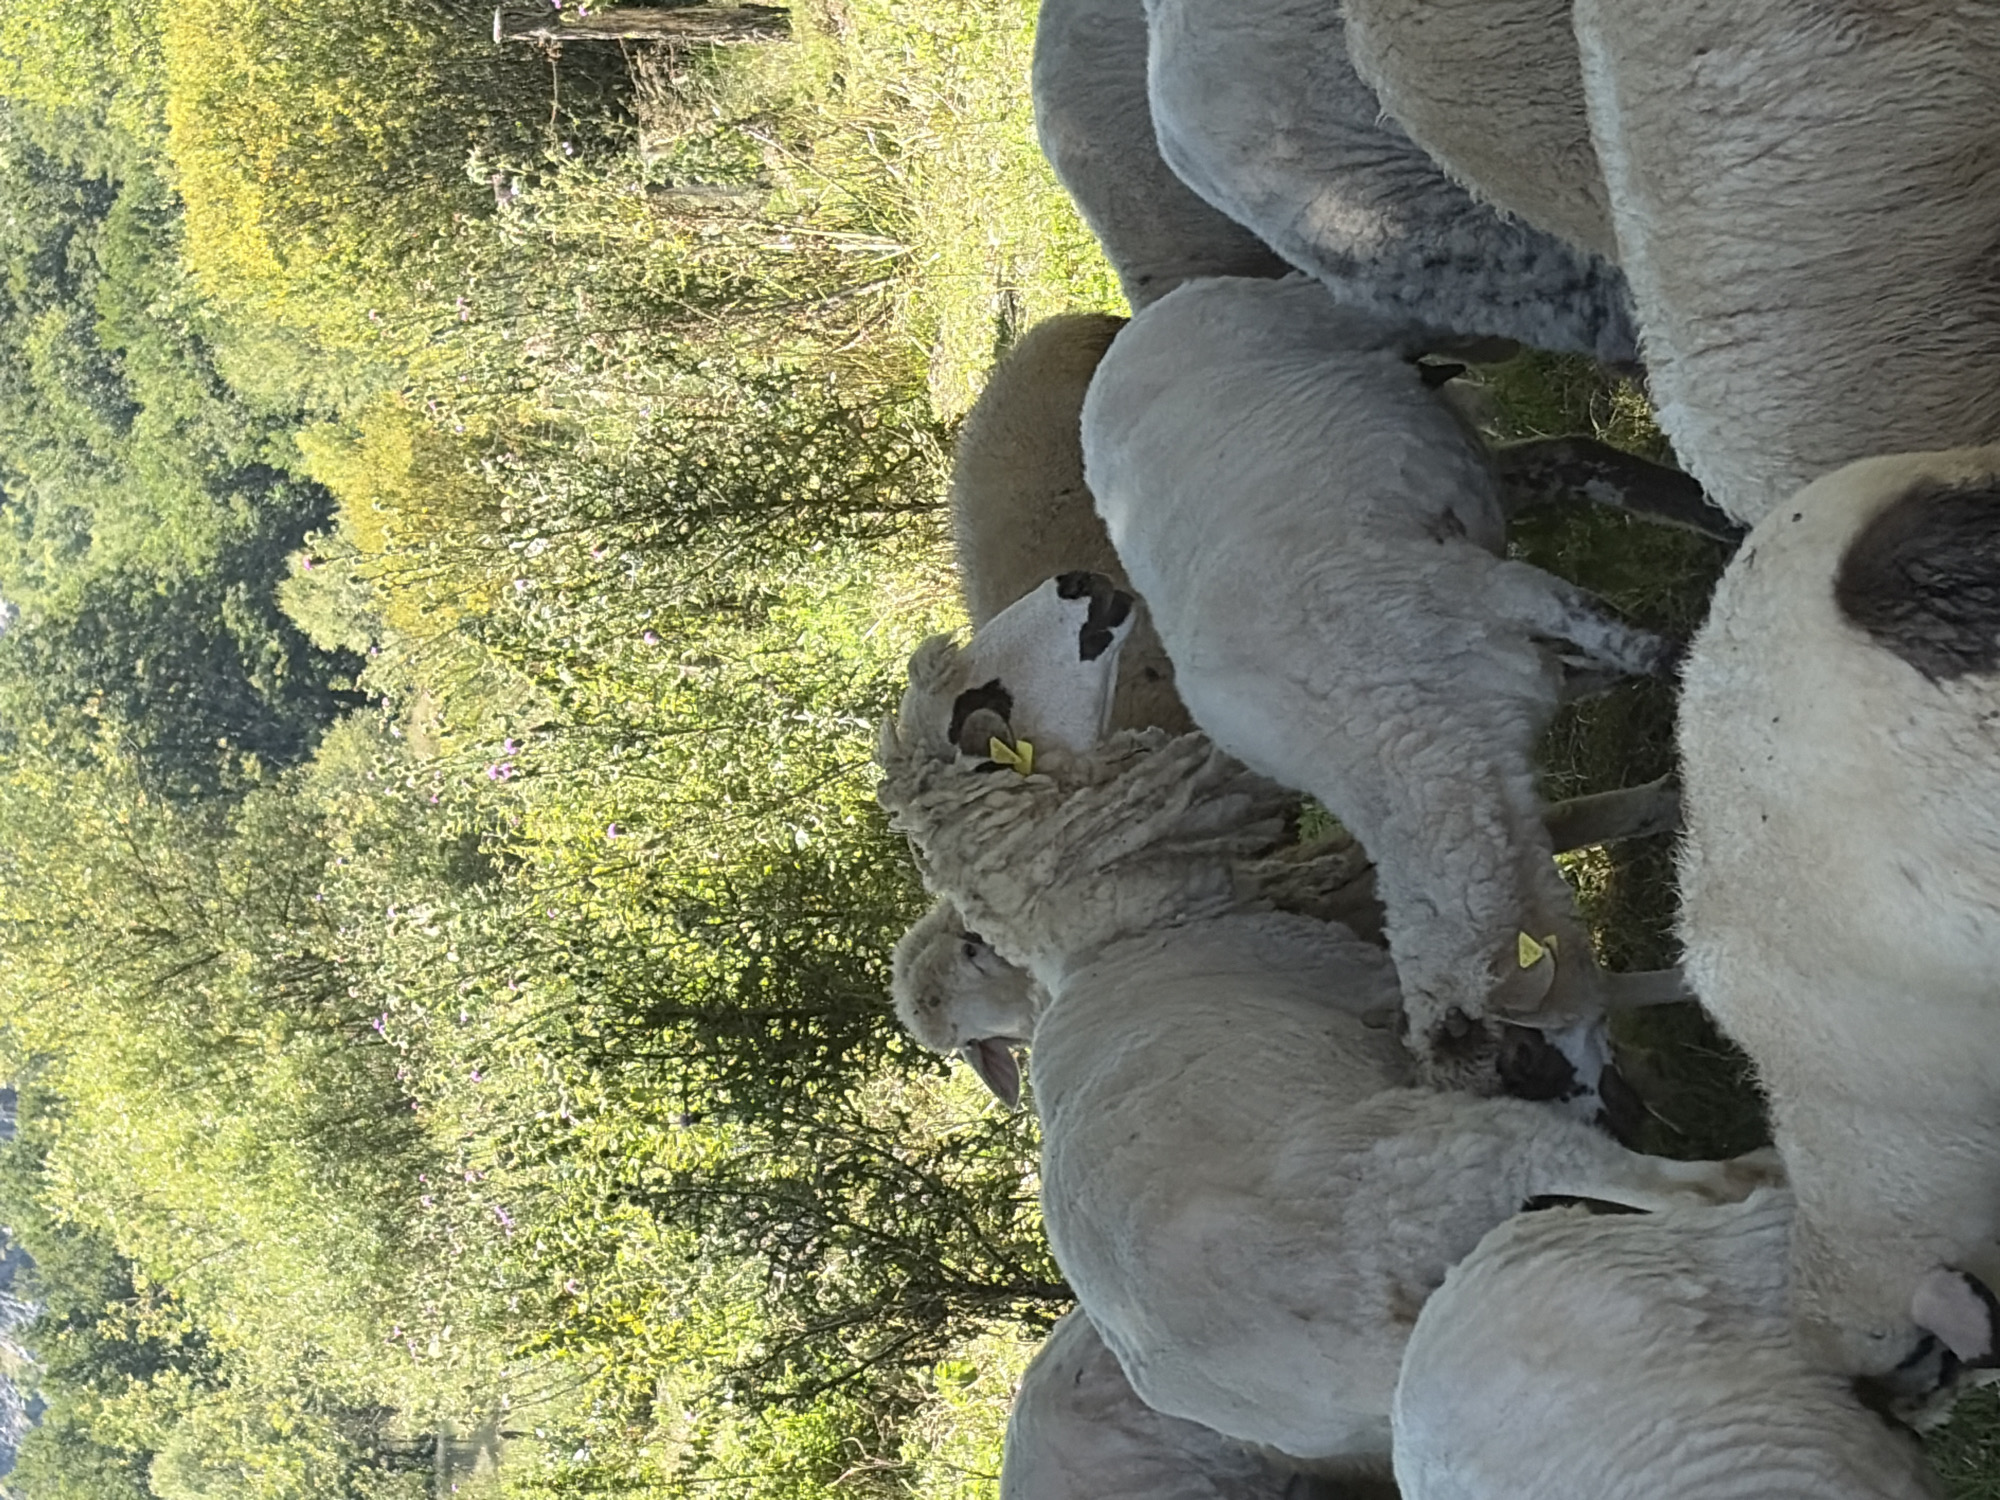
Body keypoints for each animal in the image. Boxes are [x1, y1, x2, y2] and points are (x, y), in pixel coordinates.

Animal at [1081, 275, 1681, 1090]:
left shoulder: (1499, 591)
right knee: (1572, 458)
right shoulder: (1527, 668)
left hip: (1363, 320)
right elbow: (1614, 669)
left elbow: (1645, 648)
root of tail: (1134, 331)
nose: (1626, 1116)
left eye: (1525, 1062)